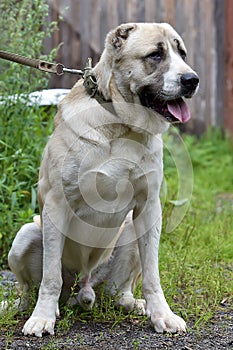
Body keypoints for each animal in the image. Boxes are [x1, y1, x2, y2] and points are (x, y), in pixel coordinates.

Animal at [7, 23, 198, 338]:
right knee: (30, 289)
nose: (192, 80)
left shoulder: (148, 208)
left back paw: (132, 303)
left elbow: (153, 275)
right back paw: (27, 308)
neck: (121, 125)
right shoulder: (56, 204)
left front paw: (163, 315)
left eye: (182, 53)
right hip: (26, 234)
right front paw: (42, 318)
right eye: (155, 55)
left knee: (117, 290)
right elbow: (50, 277)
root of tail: (83, 284)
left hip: (130, 230)